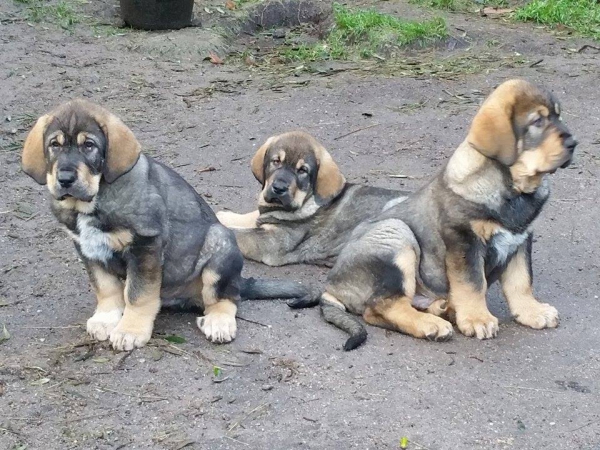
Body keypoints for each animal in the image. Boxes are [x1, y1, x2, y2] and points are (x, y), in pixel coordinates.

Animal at [22, 98, 314, 352]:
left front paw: (129, 330)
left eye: (89, 146)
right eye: (54, 145)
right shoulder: (88, 248)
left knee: (225, 297)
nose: (65, 179)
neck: (94, 200)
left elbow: (137, 294)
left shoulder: (145, 245)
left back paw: (218, 322)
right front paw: (106, 318)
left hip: (219, 244)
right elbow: (105, 287)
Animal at [316, 79, 580, 350]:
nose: (573, 143)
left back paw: (443, 309)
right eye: (538, 121)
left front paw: (531, 311)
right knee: (382, 305)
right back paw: (431, 325)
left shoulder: (520, 239)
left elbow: (521, 282)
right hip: (396, 233)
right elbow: (472, 283)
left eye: (559, 116)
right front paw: (477, 318)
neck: (513, 189)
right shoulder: (464, 240)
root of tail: (332, 285)